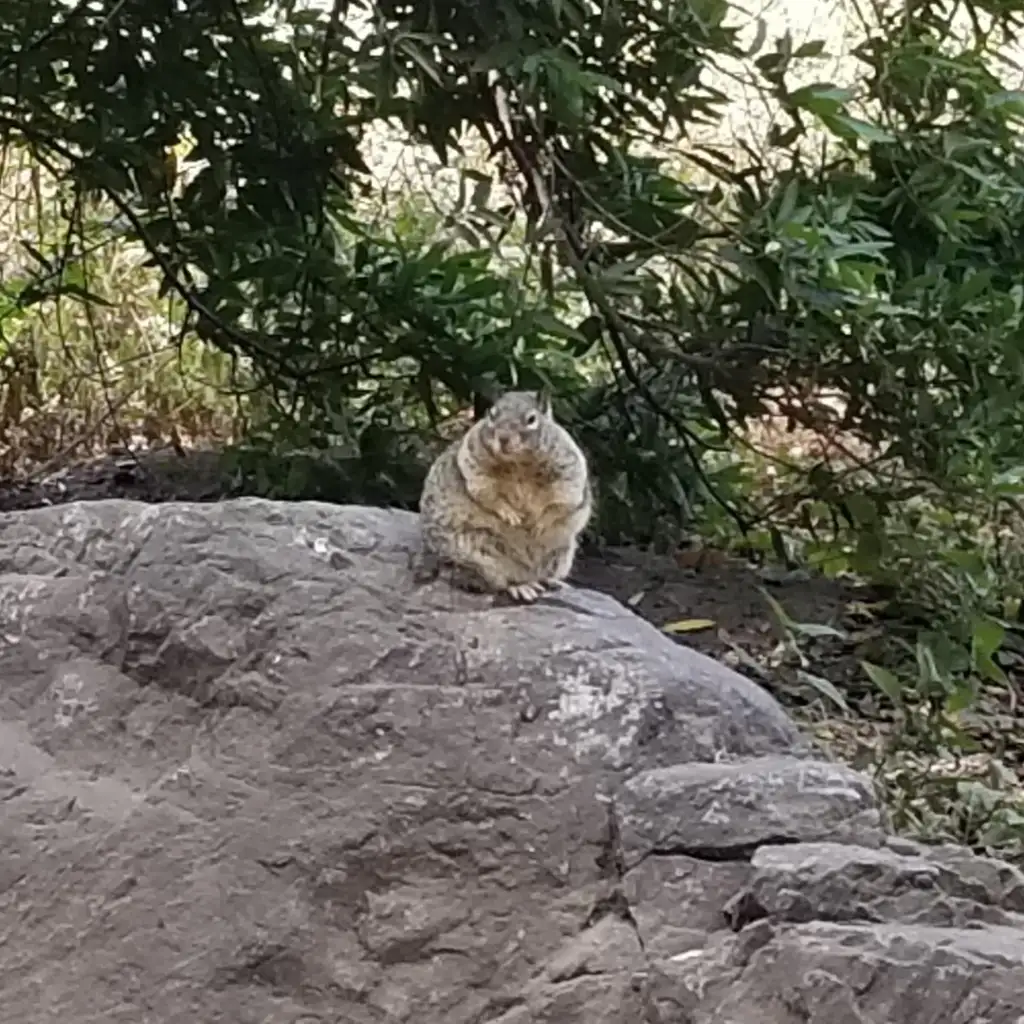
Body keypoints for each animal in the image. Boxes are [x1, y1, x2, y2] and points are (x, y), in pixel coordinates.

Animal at [413, 389, 593, 598]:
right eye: (492, 415)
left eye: (532, 419)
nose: (503, 438)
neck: (519, 464)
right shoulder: (474, 464)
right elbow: (487, 494)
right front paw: (510, 514)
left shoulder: (568, 470)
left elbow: (564, 500)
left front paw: (541, 522)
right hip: (481, 556)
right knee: (496, 582)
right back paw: (520, 587)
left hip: (561, 556)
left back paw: (551, 581)